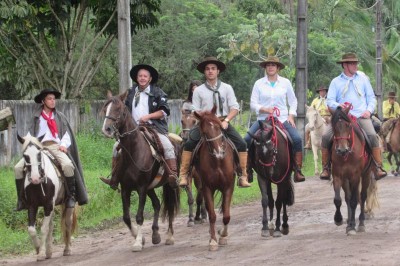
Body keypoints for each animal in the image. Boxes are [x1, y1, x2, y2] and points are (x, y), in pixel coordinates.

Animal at [101, 91, 180, 251]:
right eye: (105, 108)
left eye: (119, 110)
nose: (106, 129)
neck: (133, 151)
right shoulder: (126, 188)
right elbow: (126, 217)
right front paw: (141, 238)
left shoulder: (141, 188)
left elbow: (139, 216)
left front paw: (137, 242)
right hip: (151, 187)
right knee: (157, 204)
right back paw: (155, 235)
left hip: (169, 184)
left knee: (169, 207)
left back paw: (169, 237)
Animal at [192, 106, 236, 251]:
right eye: (205, 132)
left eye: (219, 127)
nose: (219, 153)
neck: (217, 162)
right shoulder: (207, 188)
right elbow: (212, 215)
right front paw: (212, 240)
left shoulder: (228, 186)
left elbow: (226, 215)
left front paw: (223, 236)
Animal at [330, 105, 374, 235]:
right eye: (334, 126)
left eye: (348, 126)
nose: (342, 150)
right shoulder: (337, 176)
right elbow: (338, 200)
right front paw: (339, 220)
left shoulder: (355, 176)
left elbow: (355, 201)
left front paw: (354, 226)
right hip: (346, 179)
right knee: (347, 198)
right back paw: (349, 224)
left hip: (366, 175)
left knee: (362, 196)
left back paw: (361, 224)